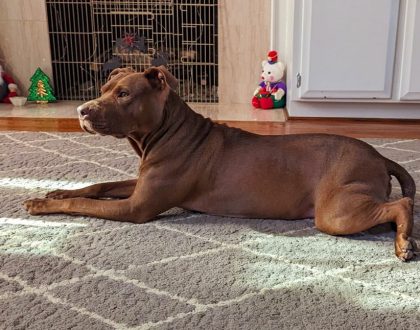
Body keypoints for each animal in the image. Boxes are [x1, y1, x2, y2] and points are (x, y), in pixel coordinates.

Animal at [25, 66, 416, 260]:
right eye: (103, 89)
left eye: (123, 94)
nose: (81, 110)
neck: (166, 130)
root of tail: (379, 155)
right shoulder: (140, 185)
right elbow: (98, 185)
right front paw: (56, 192)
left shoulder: (136, 207)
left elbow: (84, 203)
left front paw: (42, 205)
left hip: (336, 212)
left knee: (402, 204)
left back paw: (404, 243)